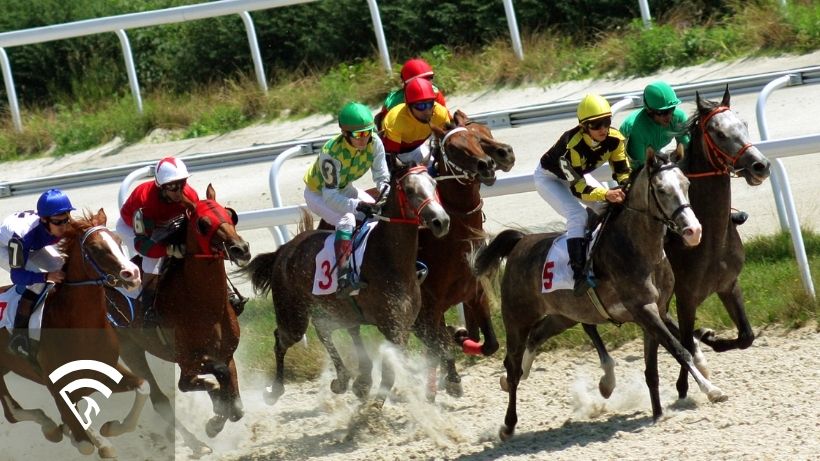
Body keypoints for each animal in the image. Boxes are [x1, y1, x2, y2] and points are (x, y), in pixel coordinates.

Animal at [0, 209, 149, 458]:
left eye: (119, 241)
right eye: (96, 249)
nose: (133, 274)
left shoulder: (104, 369)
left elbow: (143, 386)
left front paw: (110, 430)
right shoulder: (57, 386)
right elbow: (84, 443)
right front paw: (82, 436)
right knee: (12, 413)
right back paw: (50, 427)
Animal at [106, 184, 251, 449]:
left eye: (230, 214)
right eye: (203, 223)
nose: (241, 249)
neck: (204, 306)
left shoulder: (226, 354)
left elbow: (236, 406)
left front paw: (218, 414)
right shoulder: (187, 360)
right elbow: (195, 382)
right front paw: (215, 410)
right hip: (130, 348)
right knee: (159, 399)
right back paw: (196, 444)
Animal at [239, 157, 450, 408]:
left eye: (434, 184)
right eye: (409, 190)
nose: (441, 221)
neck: (388, 258)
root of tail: (284, 250)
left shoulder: (407, 322)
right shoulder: (392, 326)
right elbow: (391, 368)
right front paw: (374, 407)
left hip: (338, 309)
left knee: (327, 330)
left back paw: (348, 380)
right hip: (293, 315)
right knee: (281, 340)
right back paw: (274, 390)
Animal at [414, 110, 515, 399]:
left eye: (480, 136)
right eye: (453, 148)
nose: (489, 164)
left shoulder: (474, 293)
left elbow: (489, 343)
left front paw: (460, 336)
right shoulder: (428, 306)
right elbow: (440, 342)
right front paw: (452, 377)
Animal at [474, 151, 725, 440]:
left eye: (686, 184)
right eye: (661, 190)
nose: (694, 231)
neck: (638, 249)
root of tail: (520, 242)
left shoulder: (656, 310)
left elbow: (660, 362)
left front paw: (659, 412)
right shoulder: (644, 310)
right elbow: (678, 348)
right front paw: (711, 390)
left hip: (564, 315)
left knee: (536, 338)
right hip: (517, 318)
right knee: (512, 364)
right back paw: (508, 423)